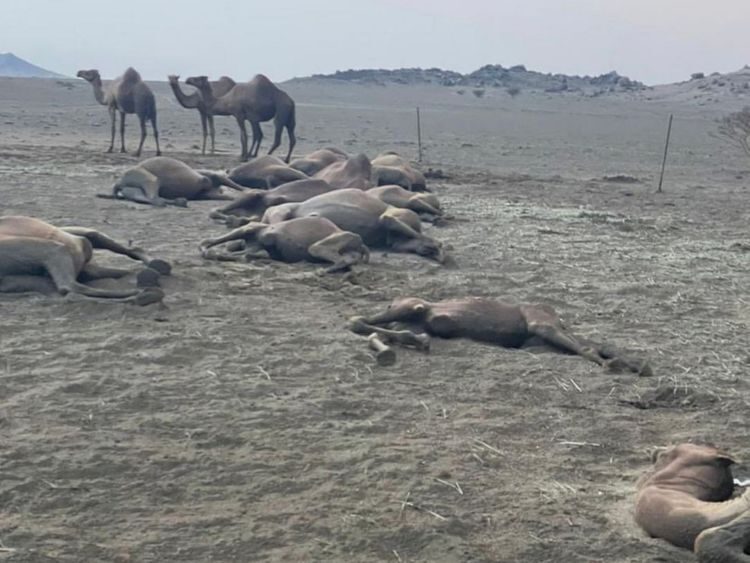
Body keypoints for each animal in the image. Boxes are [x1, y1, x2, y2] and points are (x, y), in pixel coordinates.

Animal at [99, 157, 246, 207]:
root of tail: (119, 182)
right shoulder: (211, 178)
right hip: (147, 177)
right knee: (154, 197)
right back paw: (177, 202)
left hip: (131, 188)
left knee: (145, 197)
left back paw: (179, 202)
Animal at [260, 188, 446, 263]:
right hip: (396, 236)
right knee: (404, 240)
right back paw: (431, 250)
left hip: (397, 215)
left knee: (391, 220)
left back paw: (435, 246)